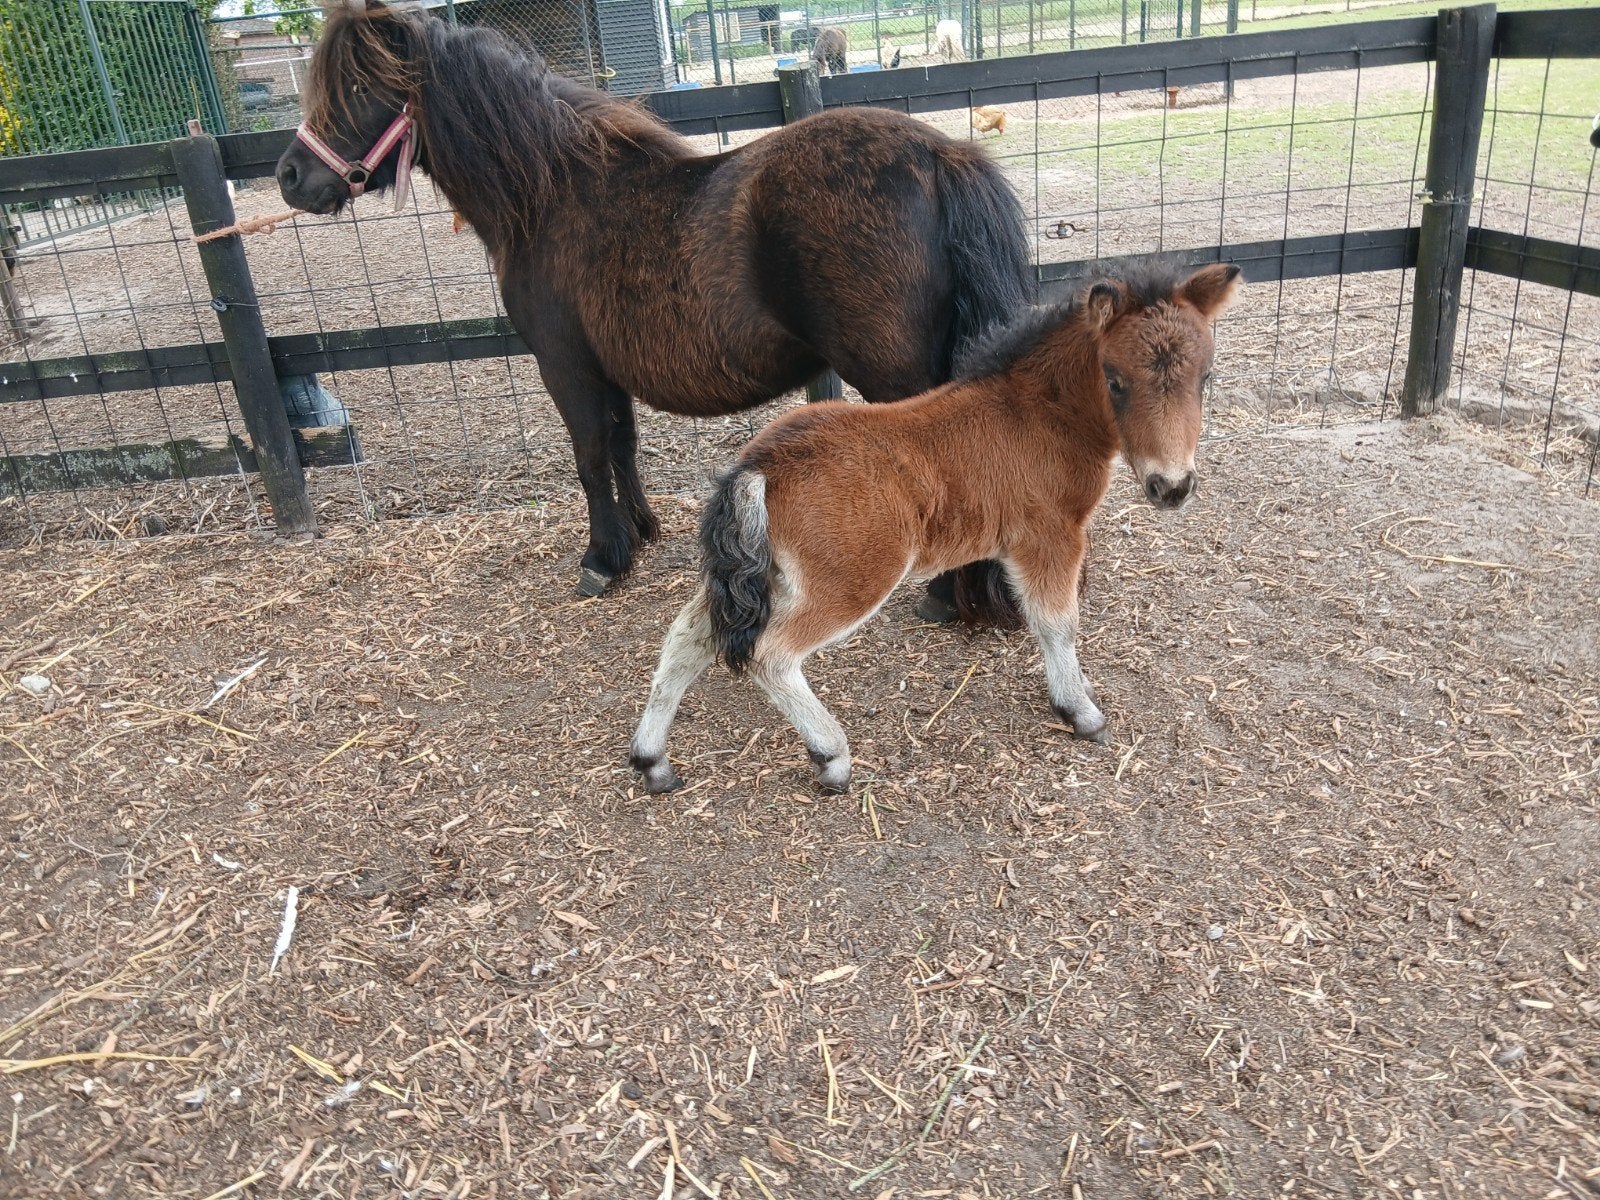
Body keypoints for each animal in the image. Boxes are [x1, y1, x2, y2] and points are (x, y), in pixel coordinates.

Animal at [275, 1, 1029, 625]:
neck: (548, 196)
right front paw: (637, 533)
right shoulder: (605, 367)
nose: (288, 176)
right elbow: (620, 445)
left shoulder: (564, 364)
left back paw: (943, 596)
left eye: (356, 90)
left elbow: (587, 454)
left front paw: (602, 559)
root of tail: (940, 153)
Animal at [629, 262, 1241, 795]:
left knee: (687, 636)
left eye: (1206, 377)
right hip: (849, 581)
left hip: (774, 574)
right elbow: (1057, 623)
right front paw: (1080, 711)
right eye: (1115, 381)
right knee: (770, 654)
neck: (1041, 412)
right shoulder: (1051, 535)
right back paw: (832, 757)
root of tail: (760, 463)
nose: (1172, 486)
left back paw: (652, 761)